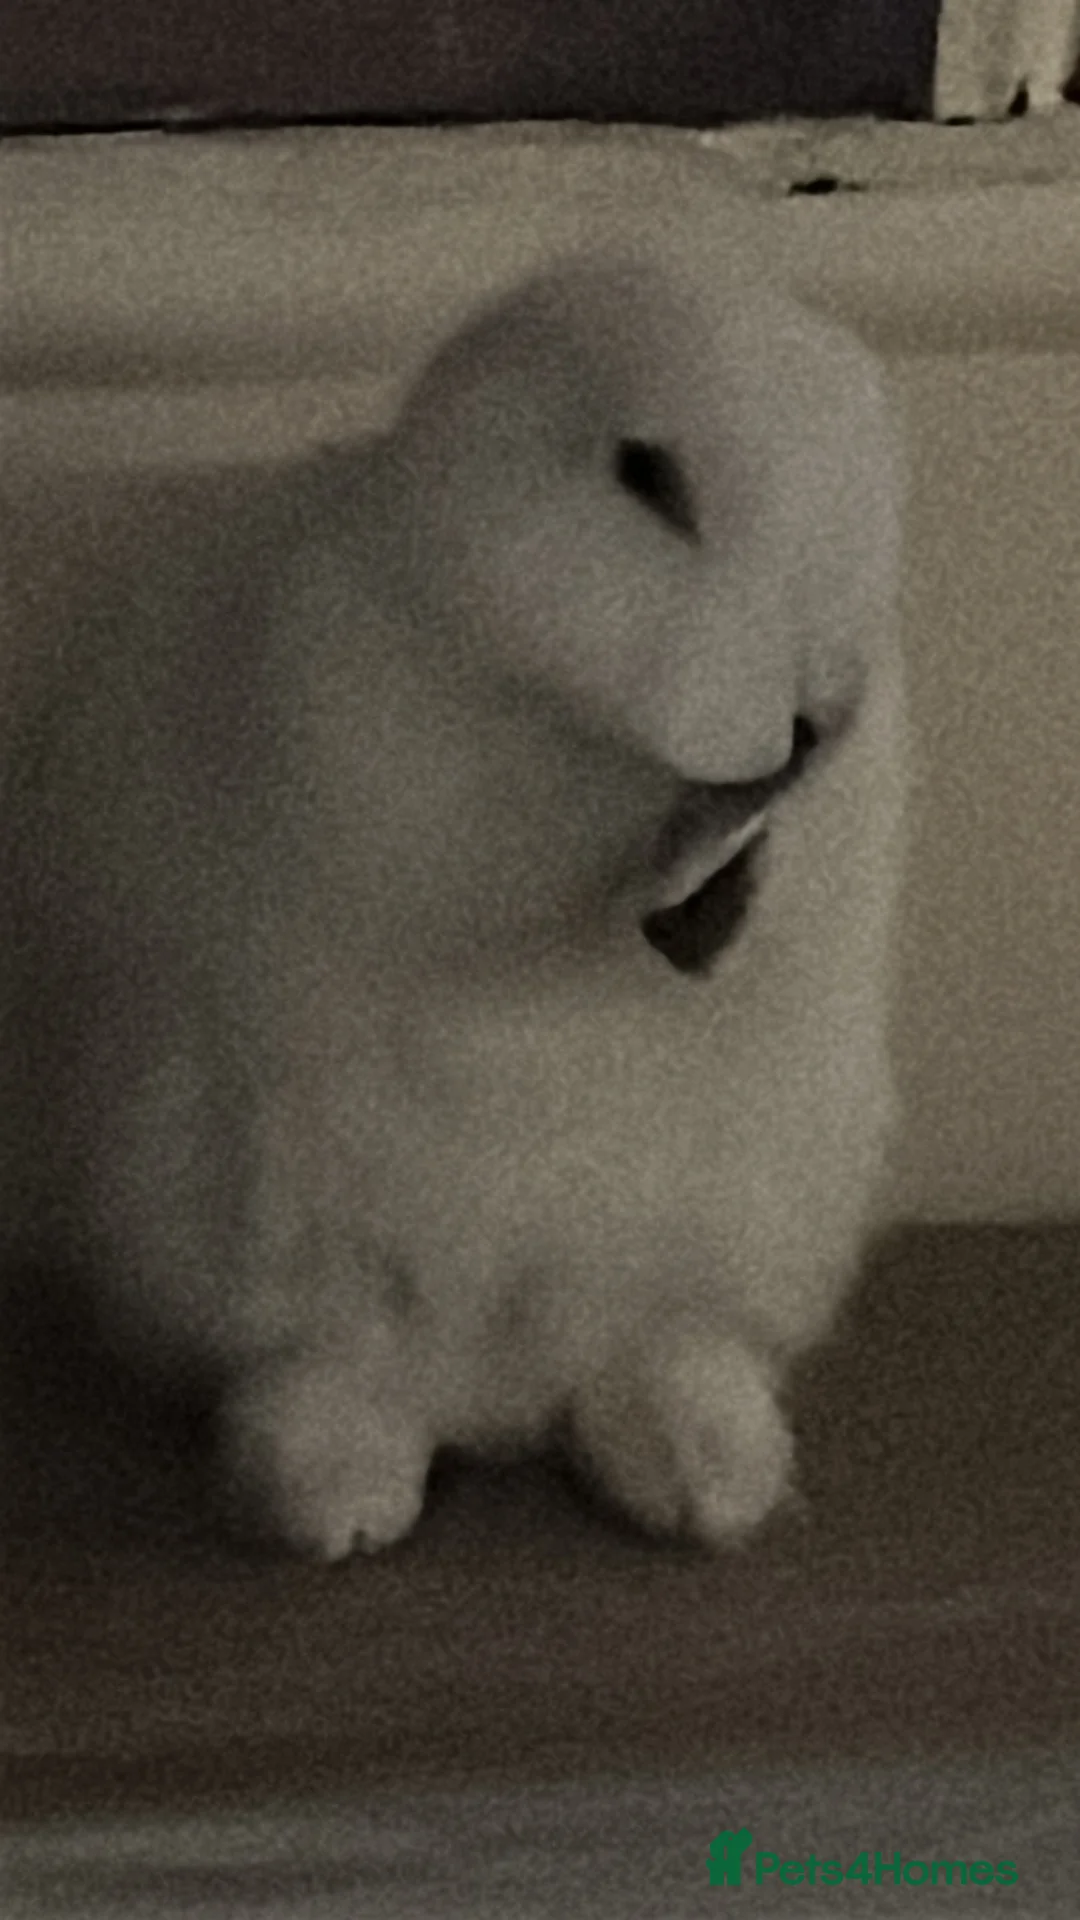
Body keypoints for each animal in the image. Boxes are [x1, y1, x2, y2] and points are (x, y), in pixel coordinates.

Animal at [0, 253, 908, 1558]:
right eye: (649, 479)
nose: (816, 695)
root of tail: (496, 1398)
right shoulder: (413, 766)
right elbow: (508, 844)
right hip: (250, 1206)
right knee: (329, 1359)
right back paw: (339, 1495)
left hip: (744, 1214)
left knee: (652, 1345)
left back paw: (701, 1475)